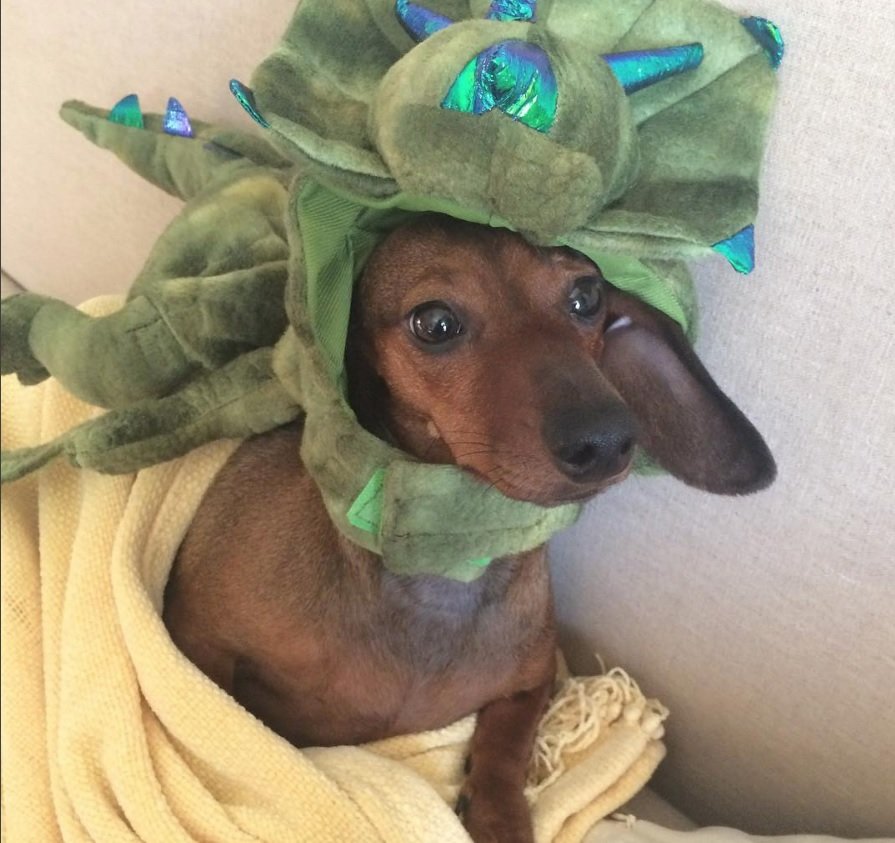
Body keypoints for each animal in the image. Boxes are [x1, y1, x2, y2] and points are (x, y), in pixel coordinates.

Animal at [164, 214, 772, 840]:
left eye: (586, 296)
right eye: (435, 323)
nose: (605, 440)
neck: (449, 568)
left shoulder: (537, 677)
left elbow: (508, 745)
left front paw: (500, 814)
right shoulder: (195, 640)